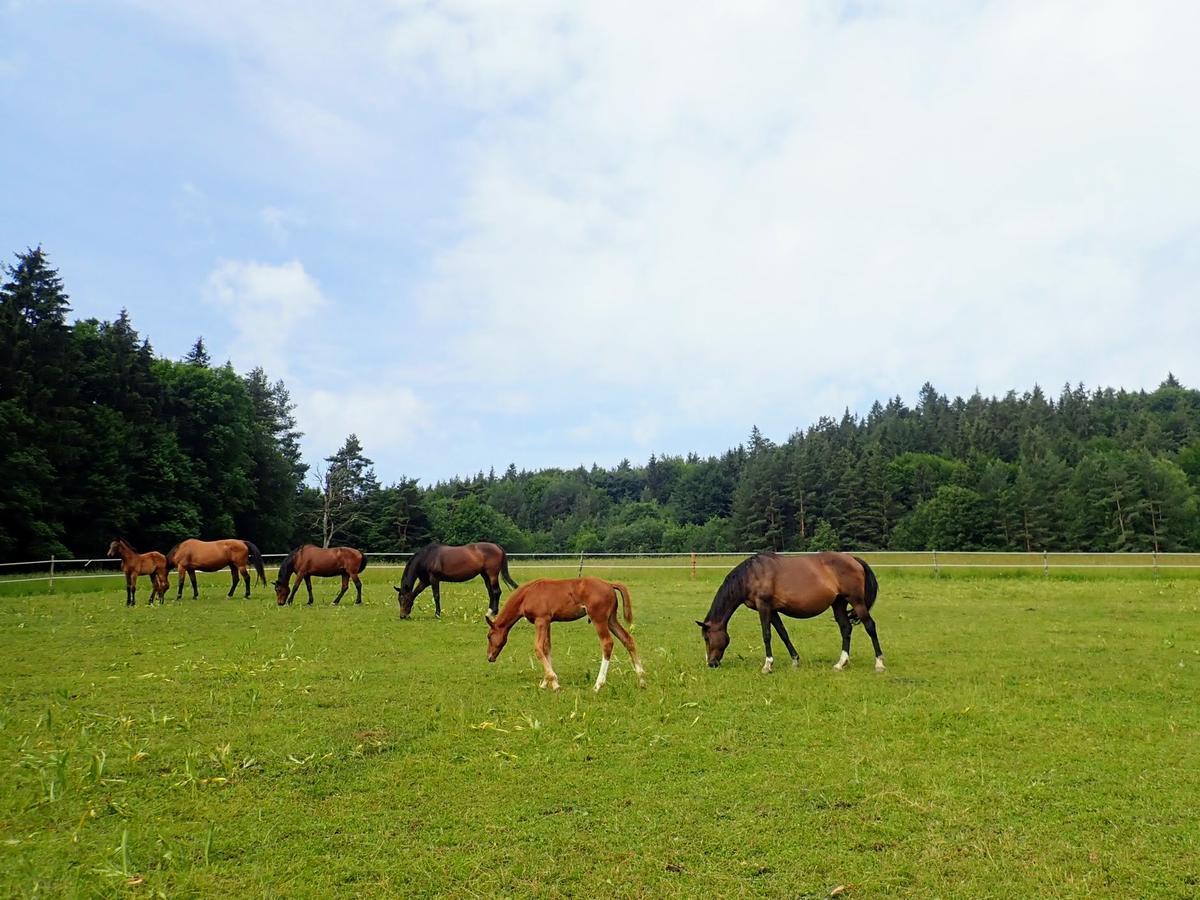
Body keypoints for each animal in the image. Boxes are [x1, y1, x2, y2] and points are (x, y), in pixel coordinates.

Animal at [484, 578, 648, 696]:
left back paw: (598, 685)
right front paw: (546, 683)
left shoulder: (541, 620)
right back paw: (642, 680)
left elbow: (538, 648)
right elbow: (547, 648)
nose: (490, 657)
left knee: (607, 643)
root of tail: (609, 584)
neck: (527, 594)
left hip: (599, 619)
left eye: (489, 636)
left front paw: (554, 683)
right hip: (611, 619)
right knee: (628, 640)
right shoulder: (548, 622)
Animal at [700, 554, 888, 672]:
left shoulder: (764, 606)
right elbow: (783, 634)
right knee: (846, 629)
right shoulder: (773, 610)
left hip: (857, 602)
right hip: (839, 603)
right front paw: (795, 660)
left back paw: (879, 663)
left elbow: (766, 635)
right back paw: (840, 664)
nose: (711, 663)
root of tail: (854, 559)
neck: (752, 574)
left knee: (870, 626)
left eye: (707, 638)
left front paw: (767, 665)